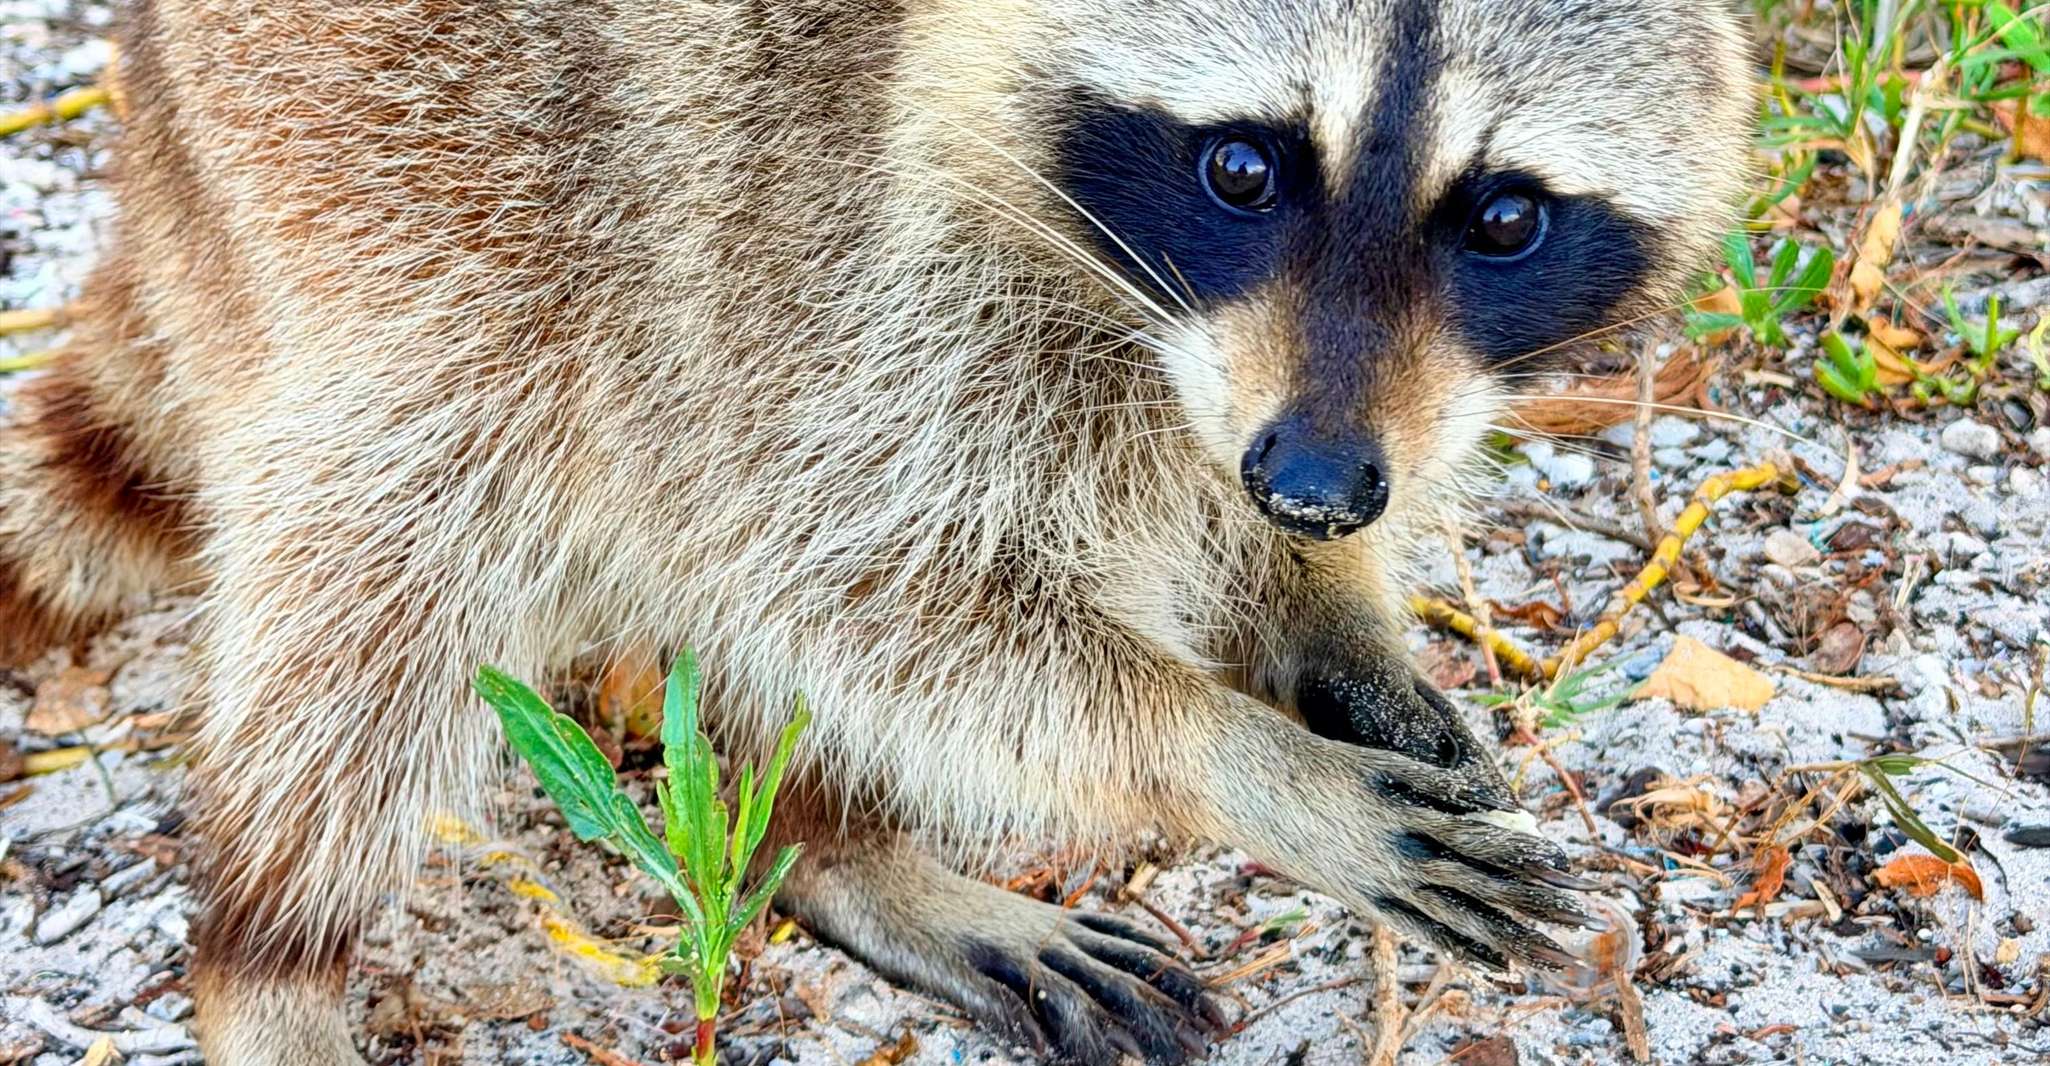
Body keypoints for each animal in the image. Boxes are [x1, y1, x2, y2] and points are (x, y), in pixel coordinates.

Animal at [0, 0, 1752, 1062]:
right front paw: (1241, 759)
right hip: (379, 174)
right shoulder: (820, 227)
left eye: (1503, 214)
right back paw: (270, 952)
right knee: (399, 536)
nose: (1315, 487)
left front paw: (1332, 616)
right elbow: (866, 584)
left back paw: (824, 842)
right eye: (1243, 166)